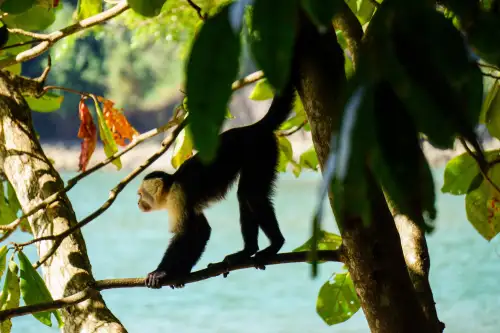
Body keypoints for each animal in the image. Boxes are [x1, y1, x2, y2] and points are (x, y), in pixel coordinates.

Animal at [137, 80, 294, 288]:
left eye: (140, 195)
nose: (138, 203)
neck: (171, 186)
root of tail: (252, 127)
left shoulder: (178, 195)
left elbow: (186, 234)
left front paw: (162, 272)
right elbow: (201, 231)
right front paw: (181, 273)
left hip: (260, 150)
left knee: (251, 194)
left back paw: (275, 244)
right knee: (244, 195)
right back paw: (247, 251)